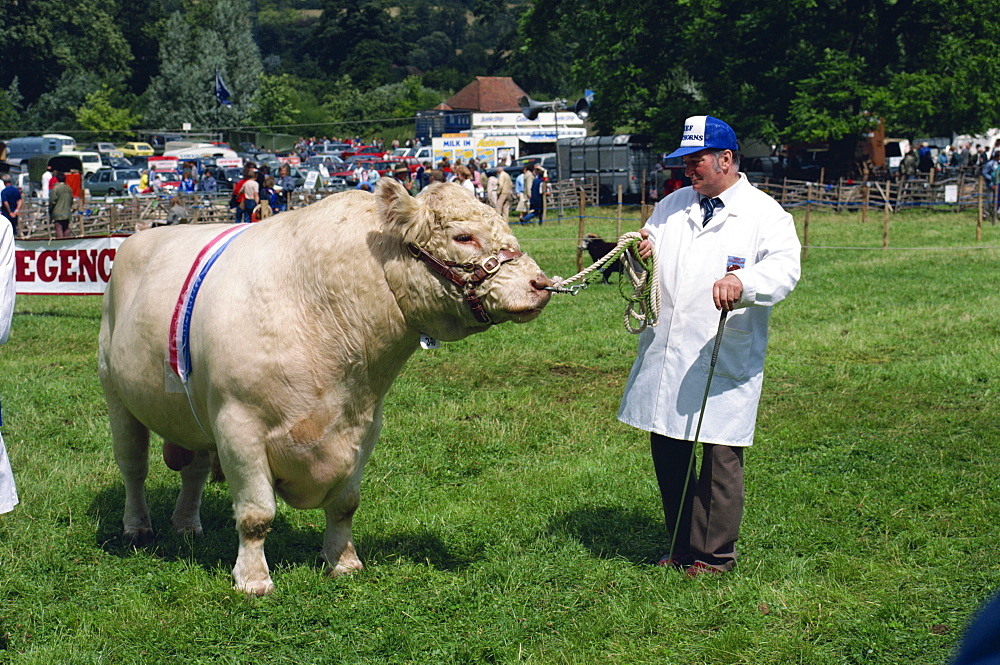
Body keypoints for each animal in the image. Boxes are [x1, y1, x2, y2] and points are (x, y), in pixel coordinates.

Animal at [99, 179, 556, 592]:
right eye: (464, 237)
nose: (541, 284)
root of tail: (139, 235)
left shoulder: (364, 425)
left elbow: (344, 504)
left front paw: (344, 562)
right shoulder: (237, 425)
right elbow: (256, 514)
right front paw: (253, 579)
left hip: (189, 415)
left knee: (192, 470)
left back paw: (186, 525)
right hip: (116, 396)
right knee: (133, 469)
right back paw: (138, 528)